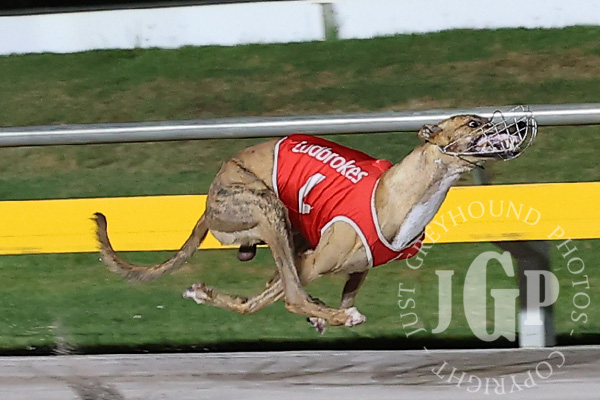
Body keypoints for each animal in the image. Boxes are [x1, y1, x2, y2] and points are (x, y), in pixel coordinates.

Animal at [94, 110, 536, 333]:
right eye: (474, 122)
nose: (522, 123)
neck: (397, 194)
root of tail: (207, 200)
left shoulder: (357, 268)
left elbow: (322, 294)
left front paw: (329, 312)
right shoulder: (310, 262)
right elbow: (288, 295)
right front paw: (336, 314)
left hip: (286, 233)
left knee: (268, 292)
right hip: (265, 208)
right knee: (286, 292)